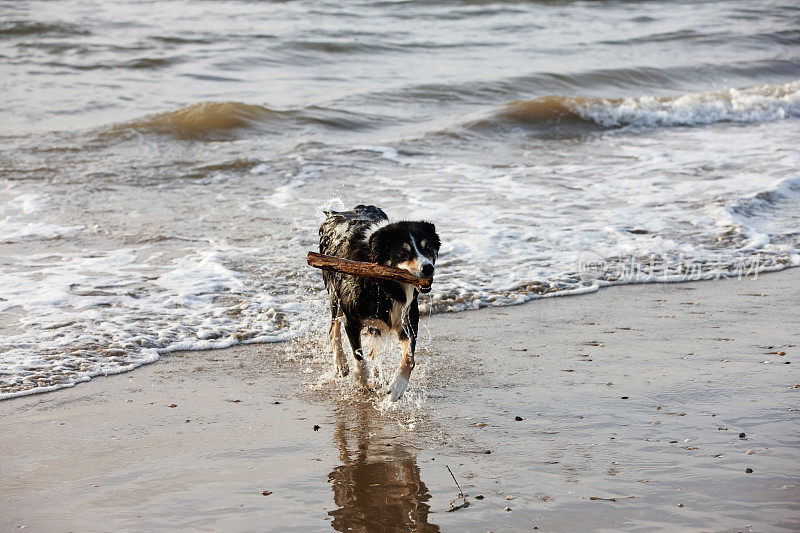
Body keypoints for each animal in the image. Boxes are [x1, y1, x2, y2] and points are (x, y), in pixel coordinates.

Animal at [318, 204, 440, 400]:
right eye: (402, 253)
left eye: (428, 247)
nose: (428, 268)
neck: (386, 285)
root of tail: (336, 213)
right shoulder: (352, 319)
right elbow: (358, 355)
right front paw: (362, 380)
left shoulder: (408, 319)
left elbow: (410, 359)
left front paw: (397, 386)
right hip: (334, 292)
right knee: (333, 328)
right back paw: (341, 364)